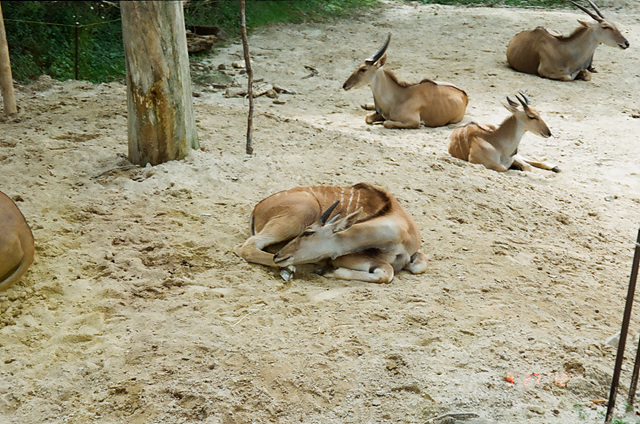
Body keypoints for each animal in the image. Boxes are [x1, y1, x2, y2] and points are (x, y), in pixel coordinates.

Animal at [232, 183, 428, 284]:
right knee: (245, 246)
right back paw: (288, 268)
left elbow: (419, 266)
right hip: (302, 211)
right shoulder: (344, 257)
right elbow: (387, 271)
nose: (279, 255)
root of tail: (258, 207)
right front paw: (327, 271)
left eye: (308, 233)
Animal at [504, 0, 632, 81]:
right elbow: (569, 77)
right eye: (605, 26)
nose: (626, 43)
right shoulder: (544, 71)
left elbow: (587, 75)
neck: (564, 50)